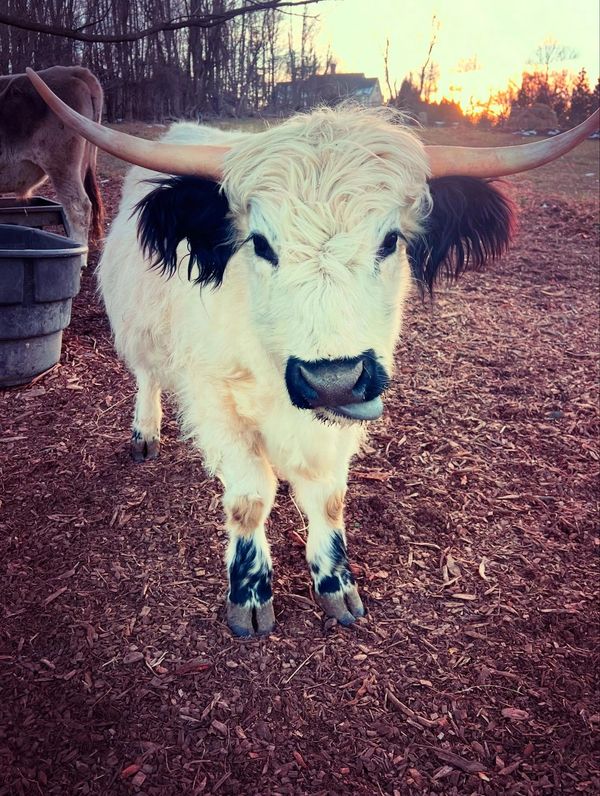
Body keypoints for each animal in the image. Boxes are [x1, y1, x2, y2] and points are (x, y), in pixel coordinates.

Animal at [27, 69, 599, 636]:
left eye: (390, 240)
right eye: (260, 243)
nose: (332, 379)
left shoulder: (346, 417)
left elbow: (328, 497)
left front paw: (336, 582)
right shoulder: (216, 404)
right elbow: (249, 498)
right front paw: (249, 593)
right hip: (139, 325)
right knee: (147, 375)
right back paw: (145, 433)